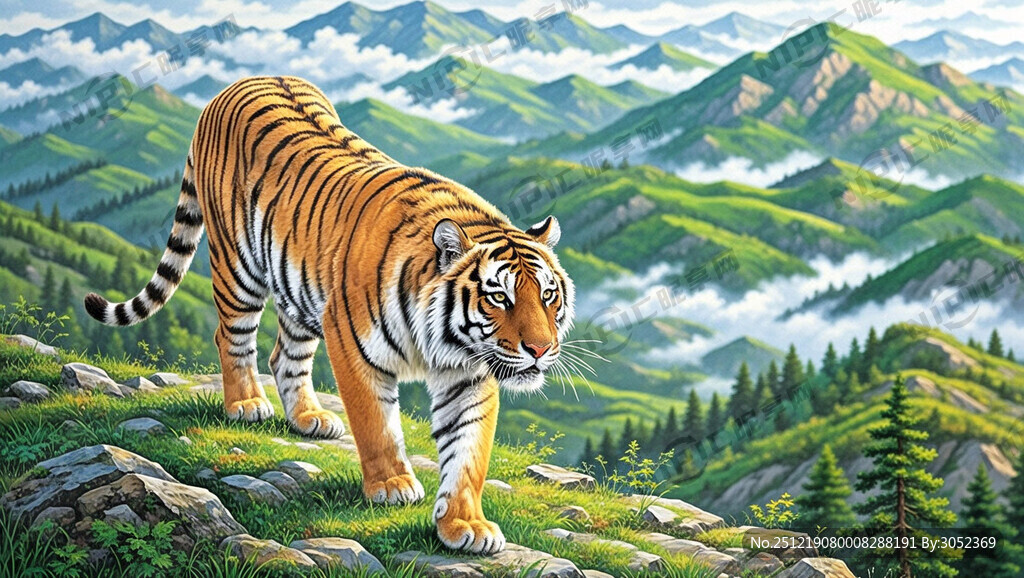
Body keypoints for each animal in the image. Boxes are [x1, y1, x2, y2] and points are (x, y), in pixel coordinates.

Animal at [83, 75, 575, 554]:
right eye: (499, 298)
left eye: (548, 295)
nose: (540, 349)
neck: (444, 341)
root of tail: (234, 85)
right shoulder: (353, 345)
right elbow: (376, 423)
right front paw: (392, 485)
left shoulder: (469, 375)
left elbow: (468, 452)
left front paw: (464, 524)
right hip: (237, 269)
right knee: (233, 338)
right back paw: (246, 404)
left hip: (300, 296)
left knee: (285, 356)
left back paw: (308, 418)